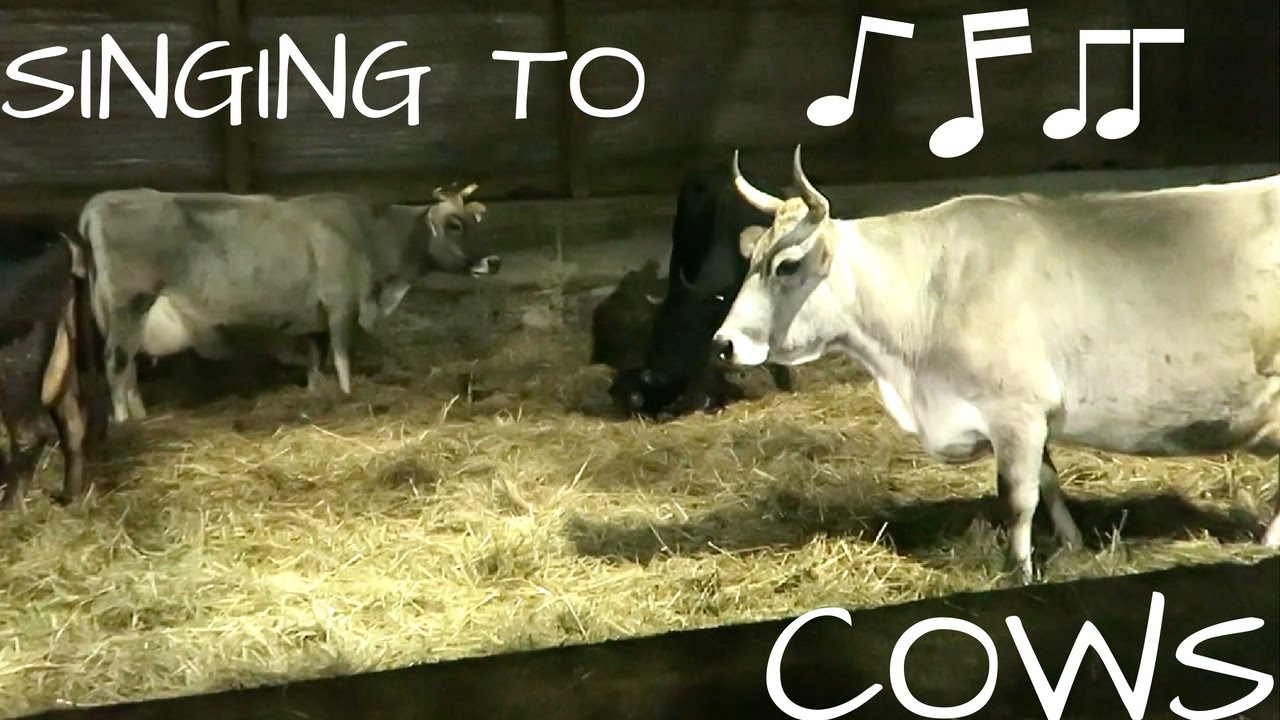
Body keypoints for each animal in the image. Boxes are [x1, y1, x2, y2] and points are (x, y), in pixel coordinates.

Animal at [1, 224, 109, 510]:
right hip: (63, 365)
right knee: (73, 427)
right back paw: (68, 498)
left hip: (15, 368)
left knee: (32, 433)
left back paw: (9, 507)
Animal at [78, 183, 498, 423]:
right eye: (454, 224)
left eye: (476, 221)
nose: (492, 260)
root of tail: (97, 204)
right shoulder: (341, 305)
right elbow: (341, 358)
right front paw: (347, 396)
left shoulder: (313, 316)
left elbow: (316, 359)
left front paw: (316, 394)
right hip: (129, 304)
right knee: (116, 364)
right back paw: (125, 423)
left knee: (129, 367)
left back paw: (139, 415)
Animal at [712, 145, 1280, 584]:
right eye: (751, 260)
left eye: (786, 266)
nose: (723, 344)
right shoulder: (1028, 413)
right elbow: (1048, 481)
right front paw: (1073, 543)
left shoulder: (1016, 409)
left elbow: (1018, 496)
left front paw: (1020, 570)